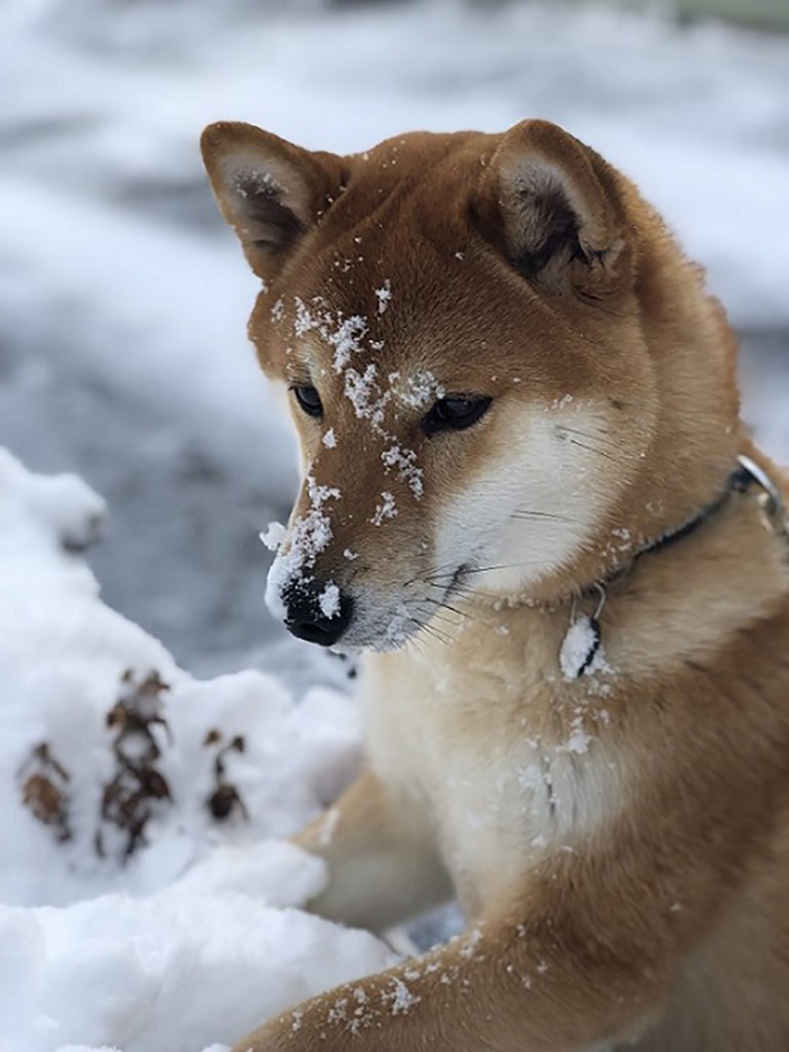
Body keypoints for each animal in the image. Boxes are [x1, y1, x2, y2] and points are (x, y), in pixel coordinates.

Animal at [201, 120, 789, 1052]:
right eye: (308, 396)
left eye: (454, 409)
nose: (303, 610)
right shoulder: (404, 813)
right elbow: (267, 883)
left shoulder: (577, 948)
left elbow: (323, 1020)